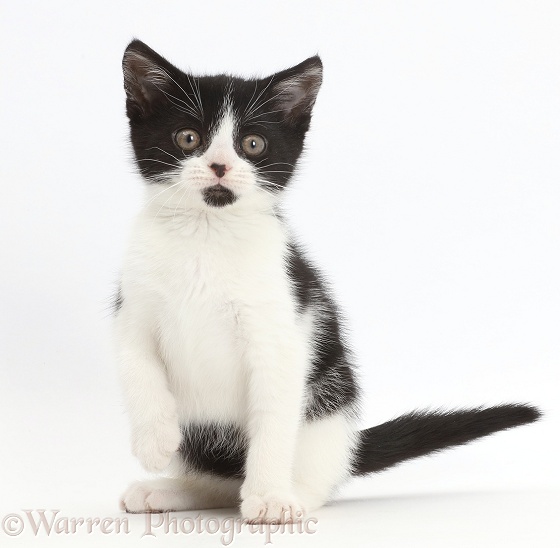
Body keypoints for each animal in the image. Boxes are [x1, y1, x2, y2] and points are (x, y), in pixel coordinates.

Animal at [116, 39, 540, 524]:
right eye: (188, 138)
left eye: (252, 144)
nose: (220, 166)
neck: (207, 234)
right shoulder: (132, 308)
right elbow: (138, 369)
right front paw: (154, 442)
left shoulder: (281, 330)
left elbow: (272, 420)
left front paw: (268, 498)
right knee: (217, 482)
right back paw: (170, 488)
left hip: (329, 407)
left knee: (306, 473)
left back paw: (289, 495)